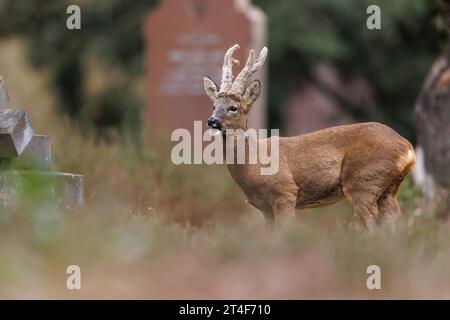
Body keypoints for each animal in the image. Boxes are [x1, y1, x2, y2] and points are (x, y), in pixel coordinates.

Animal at [203, 45, 414, 229]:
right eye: (214, 106)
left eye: (233, 107)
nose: (212, 121)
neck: (254, 163)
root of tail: (408, 147)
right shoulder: (264, 208)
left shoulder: (285, 193)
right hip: (388, 190)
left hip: (363, 182)